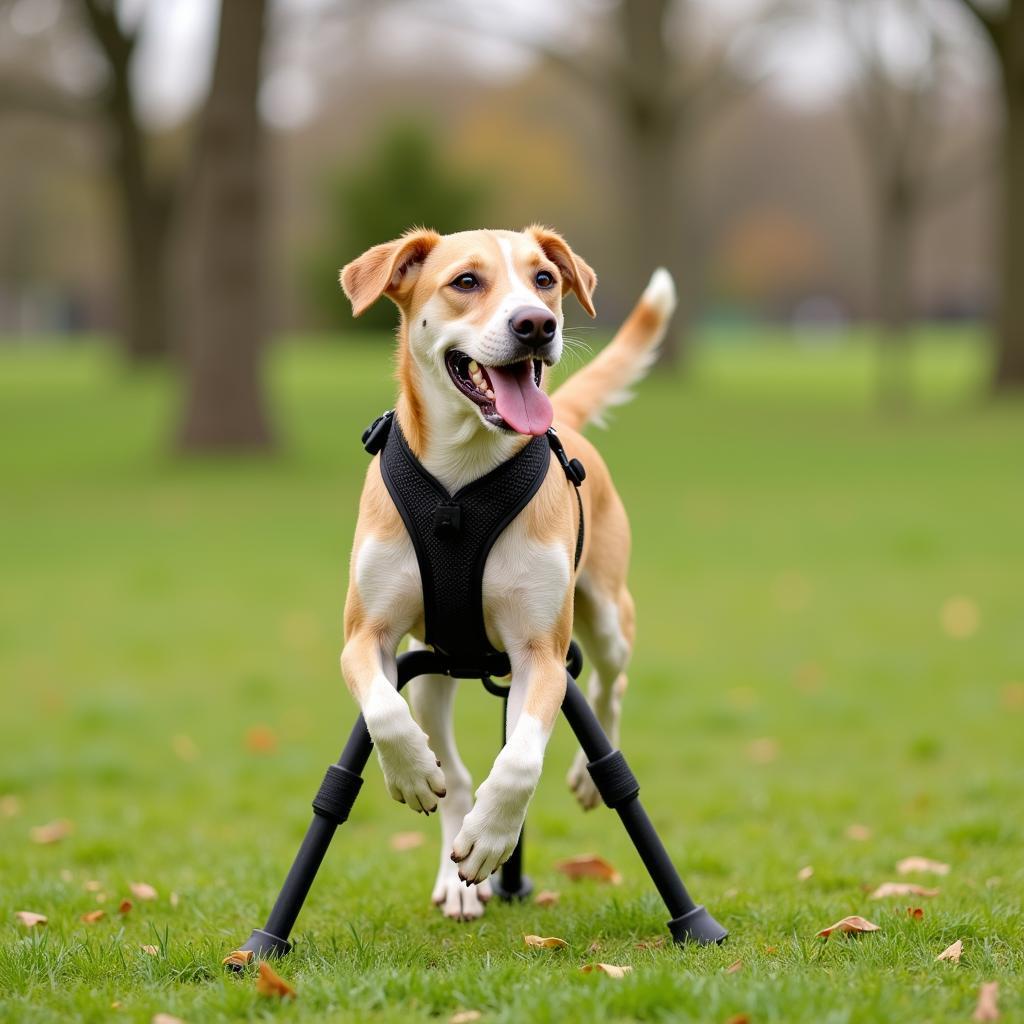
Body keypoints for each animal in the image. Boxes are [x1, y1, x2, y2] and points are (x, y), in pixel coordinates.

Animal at [339, 228, 675, 925]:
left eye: (544, 278)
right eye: (466, 282)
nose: (537, 324)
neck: (462, 482)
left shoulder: (538, 652)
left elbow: (519, 757)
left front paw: (493, 837)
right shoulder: (365, 634)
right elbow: (384, 709)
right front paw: (411, 775)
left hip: (607, 611)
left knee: (612, 681)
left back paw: (583, 775)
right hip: (431, 671)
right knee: (455, 769)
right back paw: (456, 878)